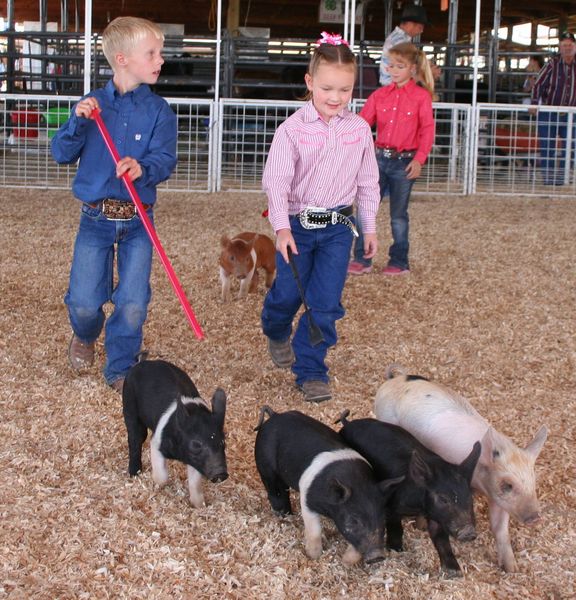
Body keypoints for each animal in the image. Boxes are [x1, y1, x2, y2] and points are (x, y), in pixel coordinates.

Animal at [121, 358, 227, 508]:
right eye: (196, 444)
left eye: (223, 441)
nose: (221, 473)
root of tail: (142, 362)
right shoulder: (157, 441)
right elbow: (162, 476)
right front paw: (159, 484)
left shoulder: (196, 461)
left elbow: (195, 482)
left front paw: (200, 505)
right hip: (129, 403)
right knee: (135, 438)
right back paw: (135, 473)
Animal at [254, 406, 402, 564]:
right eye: (353, 520)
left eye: (382, 518)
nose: (377, 556)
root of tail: (275, 415)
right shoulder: (307, 497)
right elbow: (314, 530)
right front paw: (313, 556)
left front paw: (346, 562)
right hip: (265, 465)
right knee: (275, 491)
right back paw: (284, 515)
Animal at [338, 410, 482, 576]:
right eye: (443, 499)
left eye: (470, 497)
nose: (469, 532)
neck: (420, 507)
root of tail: (348, 423)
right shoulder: (390, 505)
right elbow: (395, 526)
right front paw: (395, 549)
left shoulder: (436, 517)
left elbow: (441, 540)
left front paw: (454, 572)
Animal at [374, 364, 548, 576]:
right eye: (508, 484)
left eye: (534, 481)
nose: (535, 518)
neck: (479, 482)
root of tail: (392, 380)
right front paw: (421, 526)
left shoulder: (497, 498)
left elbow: (499, 528)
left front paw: (512, 569)